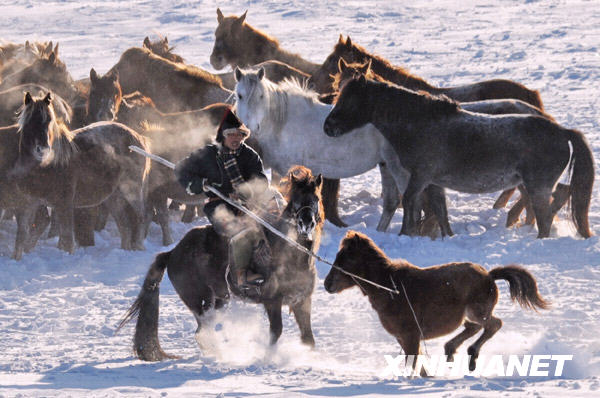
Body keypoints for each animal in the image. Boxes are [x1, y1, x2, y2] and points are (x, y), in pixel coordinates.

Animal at [9, 91, 152, 256]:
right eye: (30, 121)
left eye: (50, 121)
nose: (43, 149)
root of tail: (139, 139)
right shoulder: (28, 204)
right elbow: (21, 237)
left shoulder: (64, 204)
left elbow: (66, 240)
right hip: (113, 197)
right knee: (125, 226)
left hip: (131, 191)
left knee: (141, 217)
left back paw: (138, 246)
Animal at [116, 165, 324, 360]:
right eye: (295, 200)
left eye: (316, 199)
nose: (306, 224)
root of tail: (173, 253)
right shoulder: (272, 302)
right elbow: (276, 333)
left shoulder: (303, 301)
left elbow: (308, 338)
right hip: (199, 300)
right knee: (202, 332)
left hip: (218, 299)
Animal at [324, 230, 548, 374]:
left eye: (346, 258)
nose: (327, 284)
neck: (391, 288)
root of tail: (489, 276)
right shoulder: (403, 338)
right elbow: (419, 363)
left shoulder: (410, 335)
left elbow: (413, 362)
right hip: (468, 315)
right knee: (474, 327)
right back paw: (451, 351)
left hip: (477, 311)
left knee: (493, 324)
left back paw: (472, 355)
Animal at [326, 77, 592, 239]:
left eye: (350, 100)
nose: (327, 126)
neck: (420, 123)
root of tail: (562, 131)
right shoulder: (433, 182)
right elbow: (439, 210)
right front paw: (446, 236)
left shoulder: (419, 177)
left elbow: (411, 202)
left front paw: (405, 234)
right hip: (532, 185)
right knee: (557, 197)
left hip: (537, 187)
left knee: (545, 216)